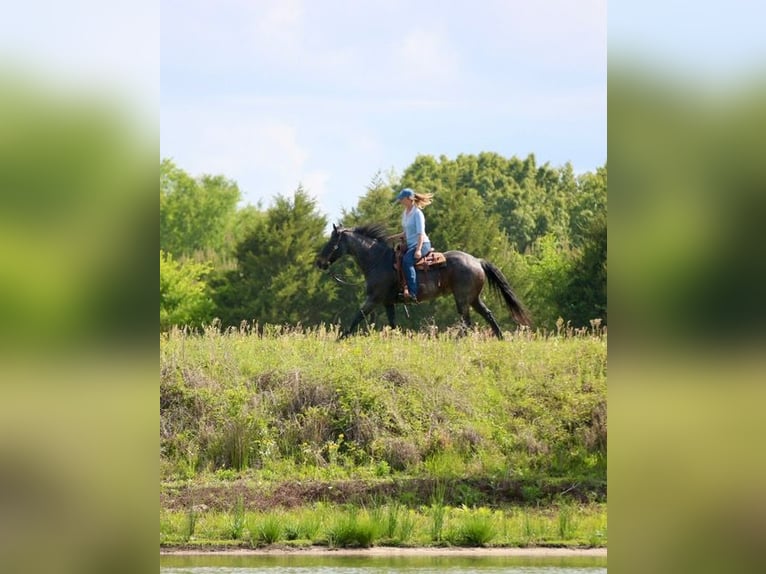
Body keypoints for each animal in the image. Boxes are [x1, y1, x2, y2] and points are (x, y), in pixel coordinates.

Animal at [315, 223, 531, 339]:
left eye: (332, 241)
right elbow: (392, 324)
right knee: (487, 314)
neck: (377, 260)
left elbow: (356, 317)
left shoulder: (373, 299)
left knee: (466, 322)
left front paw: (340, 338)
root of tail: (477, 261)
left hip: (462, 299)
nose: (320, 262)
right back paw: (501, 338)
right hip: (473, 298)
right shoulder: (388, 302)